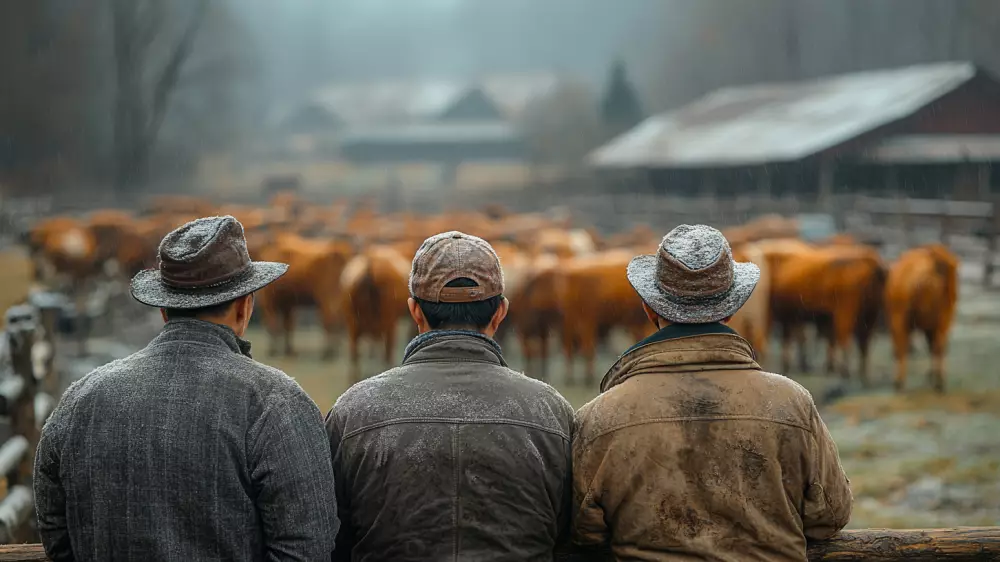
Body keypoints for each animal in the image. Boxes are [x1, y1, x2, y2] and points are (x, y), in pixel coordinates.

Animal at [884, 243, 960, 392]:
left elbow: (899, 347)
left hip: (900, 318)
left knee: (902, 346)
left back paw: (900, 382)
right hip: (944, 320)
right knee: (939, 346)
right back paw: (939, 382)